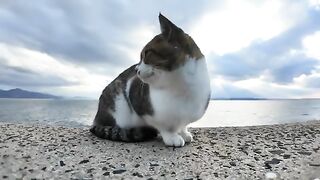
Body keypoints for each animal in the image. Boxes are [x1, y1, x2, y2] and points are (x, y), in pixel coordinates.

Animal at [90, 13, 211, 147]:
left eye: (147, 53)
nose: (136, 69)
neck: (182, 87)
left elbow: (183, 125)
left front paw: (184, 133)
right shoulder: (135, 92)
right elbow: (163, 125)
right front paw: (171, 136)